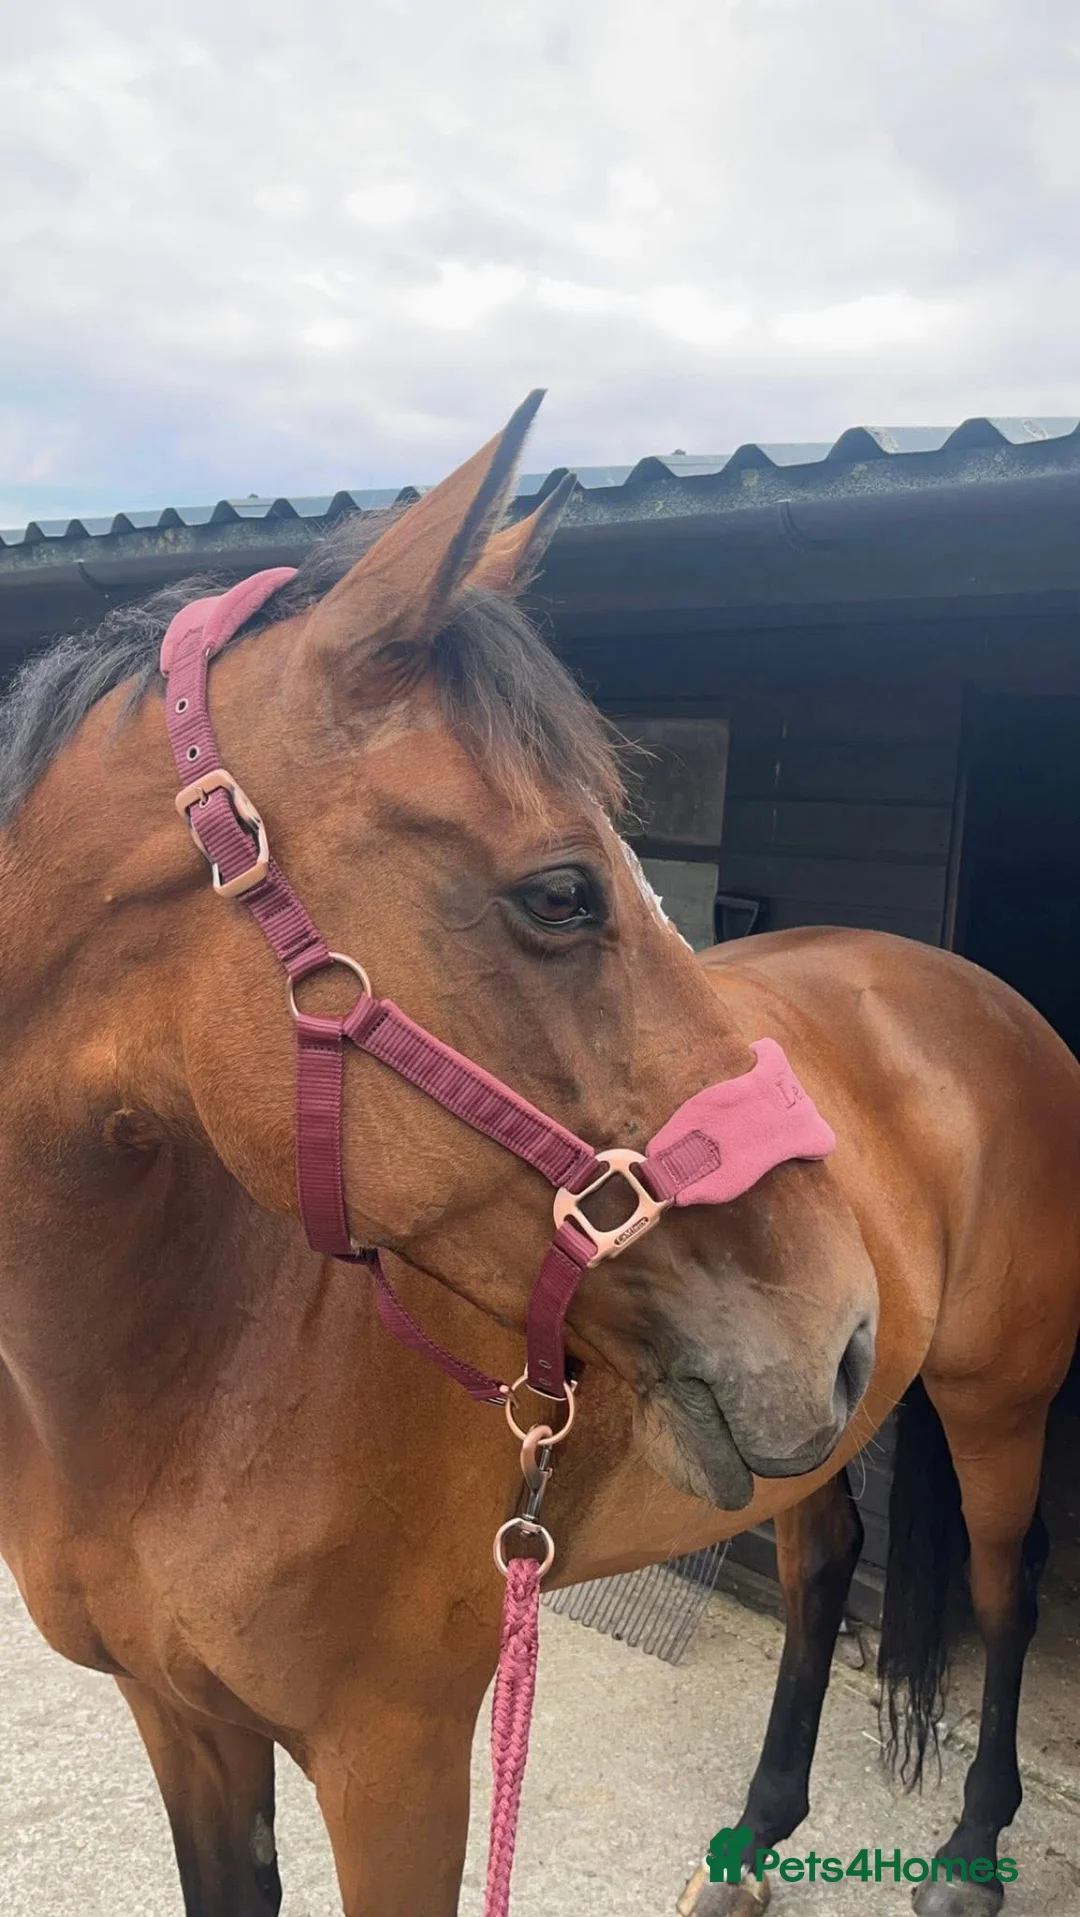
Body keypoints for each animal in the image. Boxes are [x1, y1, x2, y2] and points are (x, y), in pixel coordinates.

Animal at [0, 391, 1074, 1917]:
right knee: (824, 1566)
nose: (842, 1321)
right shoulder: (179, 1718)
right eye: (563, 893)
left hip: (994, 1401)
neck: (177, 1371)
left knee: (1004, 1588)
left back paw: (972, 1854)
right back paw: (754, 1838)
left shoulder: (397, 1765)